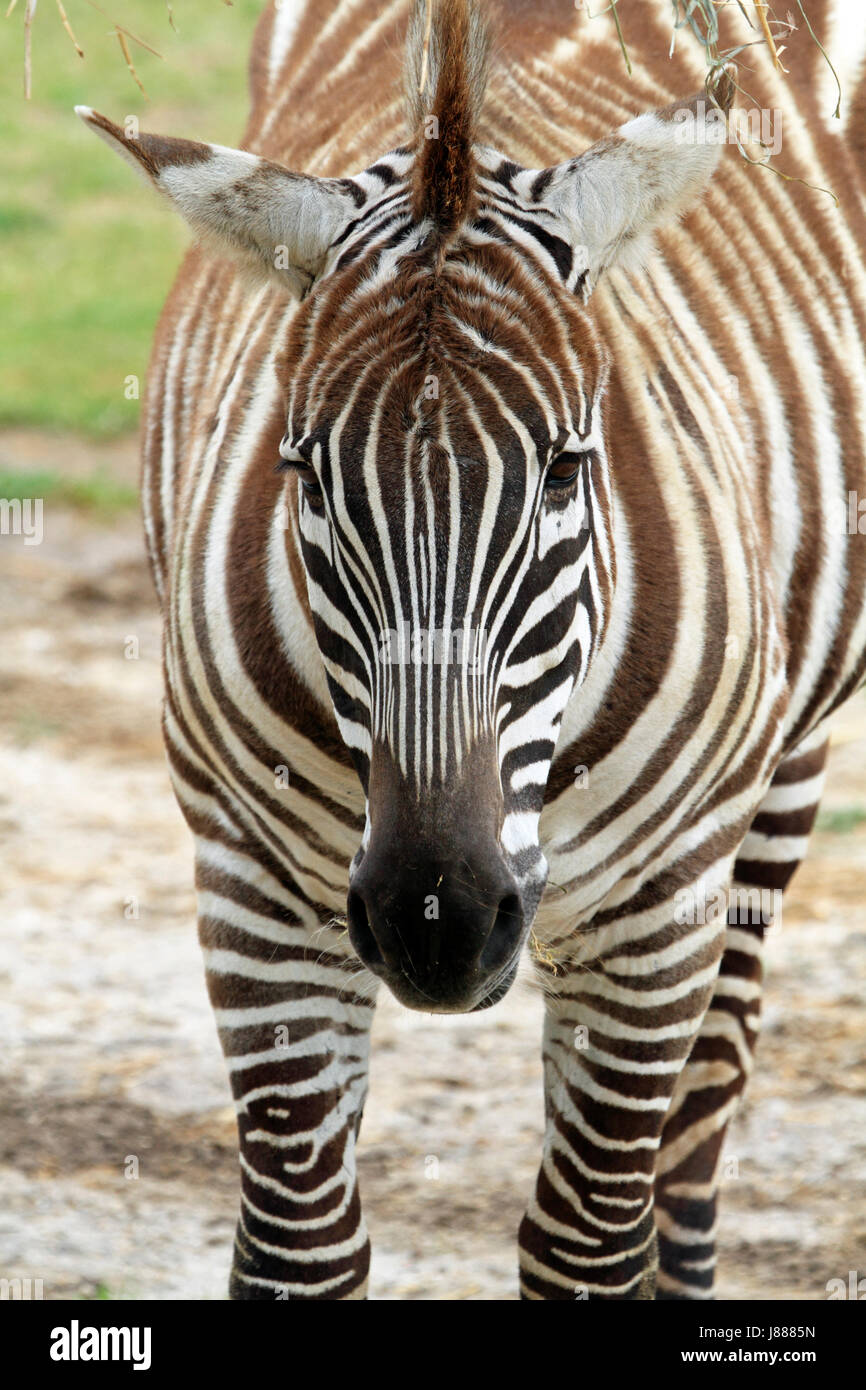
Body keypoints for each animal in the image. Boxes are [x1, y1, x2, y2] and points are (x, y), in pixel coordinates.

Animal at [76, 0, 866, 1299]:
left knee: (695, 1134)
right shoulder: (253, 881)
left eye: (565, 471)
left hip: (770, 788)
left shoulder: (654, 915)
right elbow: (300, 1246)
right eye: (304, 478)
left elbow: (586, 1244)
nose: (435, 919)